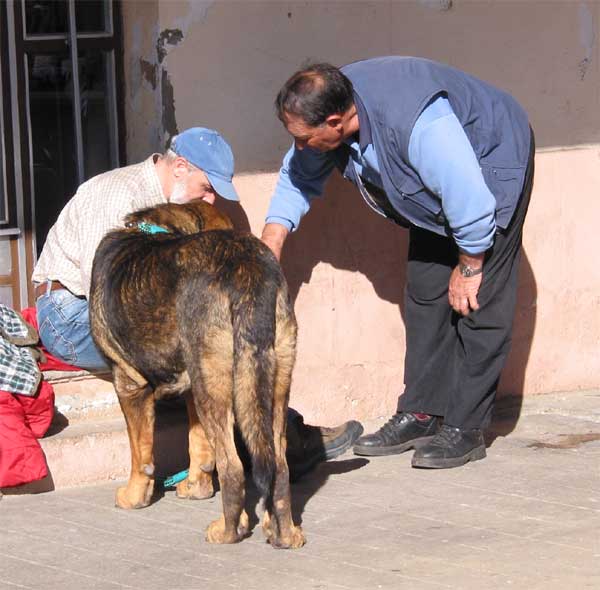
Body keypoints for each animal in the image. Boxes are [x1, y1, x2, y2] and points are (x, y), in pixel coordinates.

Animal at [89, 202, 304, 552]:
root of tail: (246, 266)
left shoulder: (128, 383)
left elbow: (140, 452)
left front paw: (134, 496)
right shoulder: (192, 387)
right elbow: (197, 443)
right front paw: (196, 486)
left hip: (214, 387)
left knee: (232, 468)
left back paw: (229, 531)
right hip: (270, 382)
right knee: (278, 465)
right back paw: (284, 534)